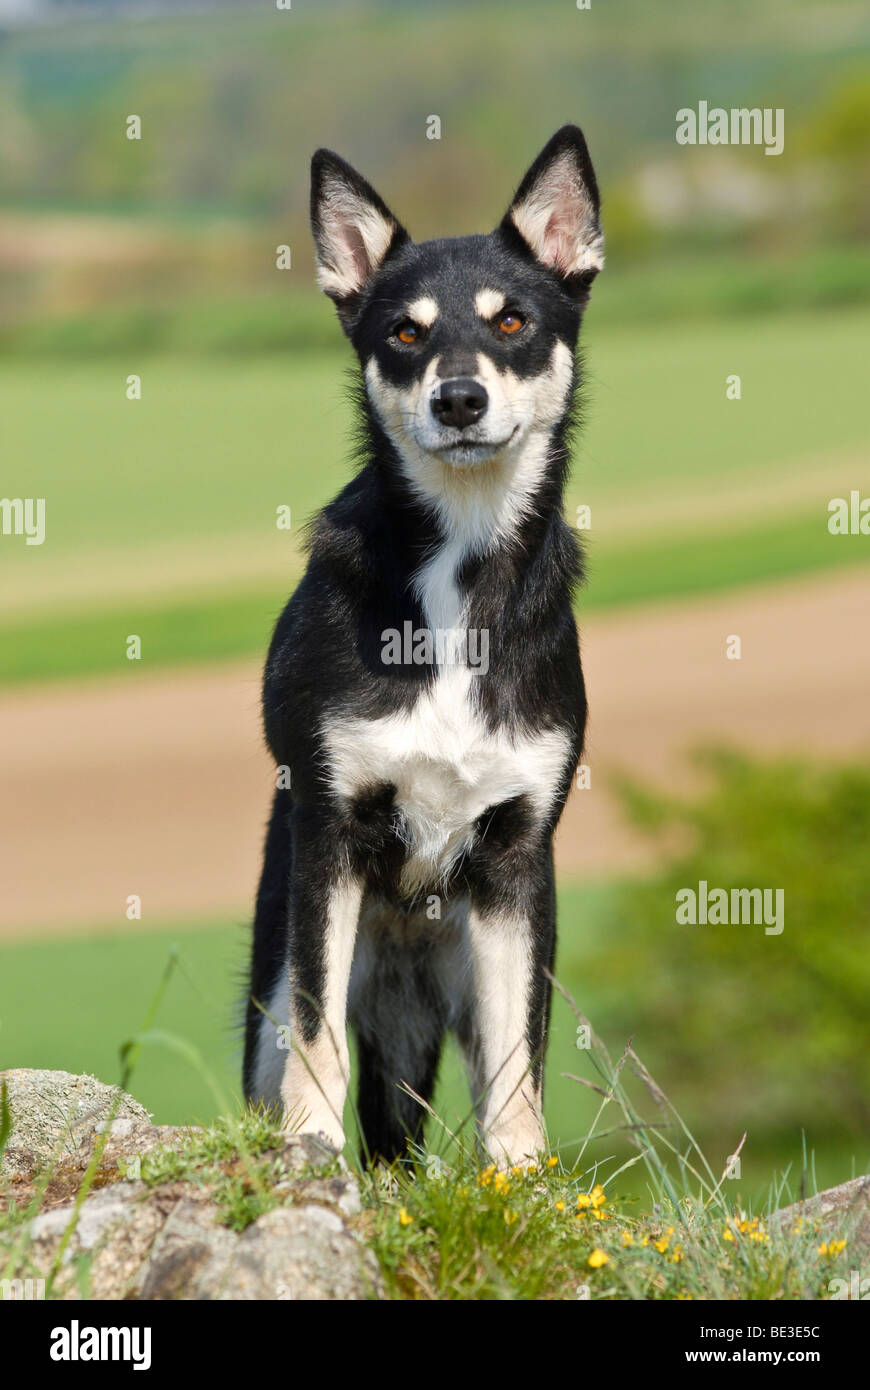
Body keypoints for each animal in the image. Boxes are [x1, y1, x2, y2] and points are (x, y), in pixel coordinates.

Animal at [240, 125, 600, 1167]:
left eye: (512, 321)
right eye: (405, 333)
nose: (461, 399)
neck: (458, 573)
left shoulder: (520, 862)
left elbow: (521, 1066)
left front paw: (519, 1180)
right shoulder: (329, 837)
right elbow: (319, 1040)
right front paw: (315, 1157)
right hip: (278, 970)